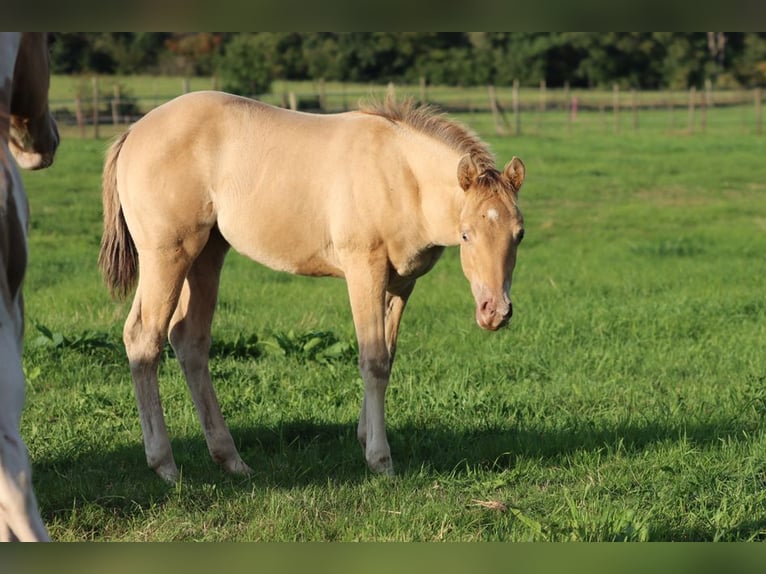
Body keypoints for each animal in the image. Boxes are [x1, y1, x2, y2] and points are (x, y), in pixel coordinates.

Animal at [99, 90, 525, 482]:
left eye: (519, 234)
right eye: (466, 235)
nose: (496, 312)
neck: (401, 175)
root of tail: (134, 132)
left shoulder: (401, 284)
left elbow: (386, 357)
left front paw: (364, 436)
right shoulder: (364, 268)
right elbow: (372, 359)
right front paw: (380, 461)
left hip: (207, 254)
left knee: (190, 341)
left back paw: (232, 461)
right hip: (167, 254)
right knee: (144, 338)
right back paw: (165, 466)